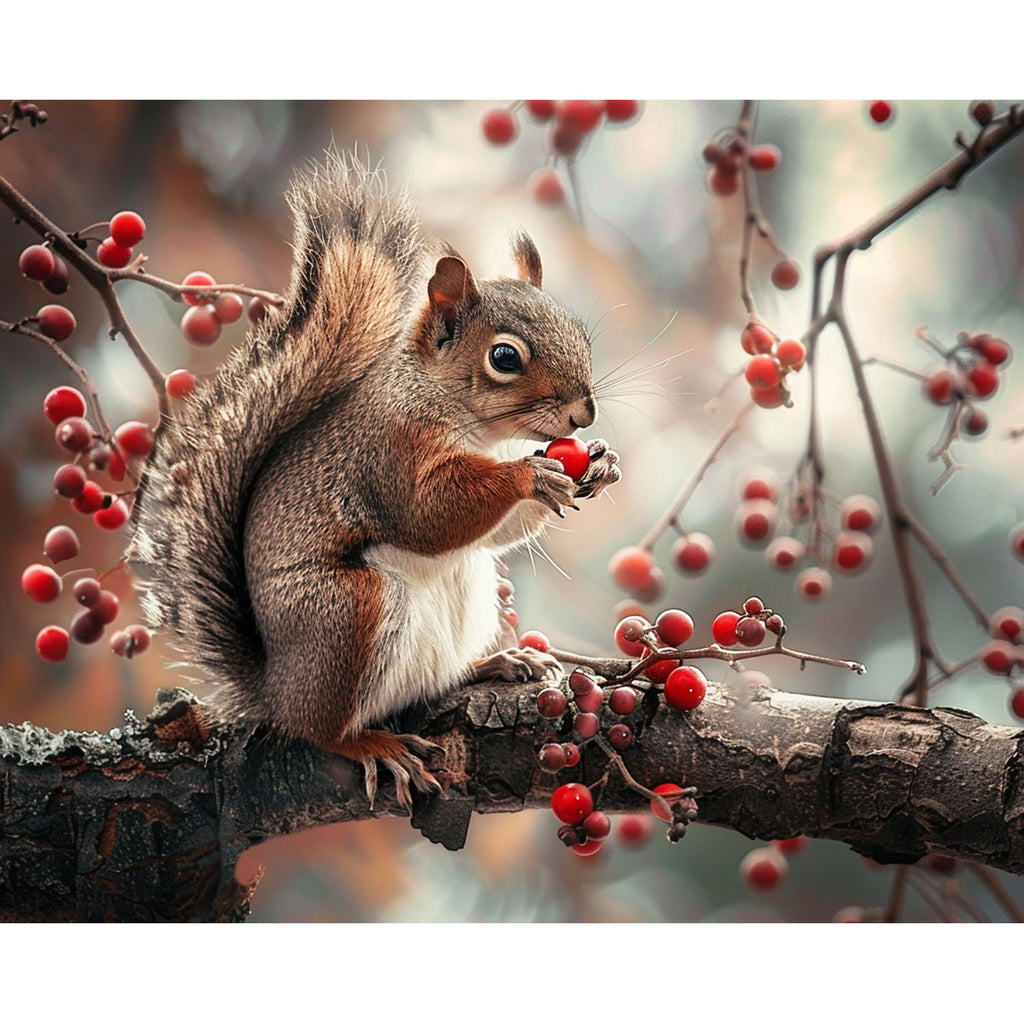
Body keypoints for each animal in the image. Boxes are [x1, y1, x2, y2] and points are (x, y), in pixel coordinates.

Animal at [129, 152, 621, 807]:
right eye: (505, 358)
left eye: (582, 335)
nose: (584, 415)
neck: (461, 418)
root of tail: (274, 688)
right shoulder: (389, 449)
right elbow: (427, 512)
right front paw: (529, 473)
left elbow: (490, 533)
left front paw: (600, 465)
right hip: (346, 615)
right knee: (317, 729)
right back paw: (370, 744)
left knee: (430, 683)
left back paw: (493, 664)